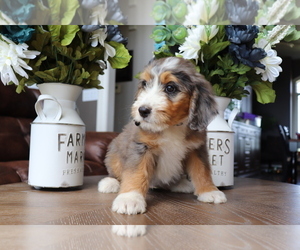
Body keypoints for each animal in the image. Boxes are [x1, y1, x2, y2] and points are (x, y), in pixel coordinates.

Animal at [98, 56, 227, 215]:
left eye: (170, 88)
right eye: (144, 84)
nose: (142, 110)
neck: (171, 126)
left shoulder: (197, 148)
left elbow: (202, 170)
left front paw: (209, 191)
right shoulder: (141, 147)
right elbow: (136, 173)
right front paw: (130, 199)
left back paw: (180, 184)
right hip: (114, 155)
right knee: (115, 172)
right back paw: (110, 183)